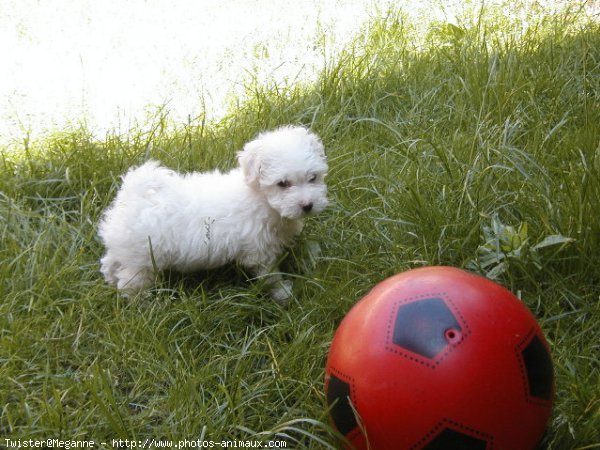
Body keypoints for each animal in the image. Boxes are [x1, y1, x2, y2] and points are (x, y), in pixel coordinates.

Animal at [100, 125, 330, 300]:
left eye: (313, 178)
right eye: (282, 184)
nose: (307, 205)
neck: (260, 198)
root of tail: (133, 193)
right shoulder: (259, 251)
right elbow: (270, 275)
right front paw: (282, 293)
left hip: (129, 250)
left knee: (110, 261)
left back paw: (110, 278)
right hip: (144, 259)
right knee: (130, 282)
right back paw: (143, 302)